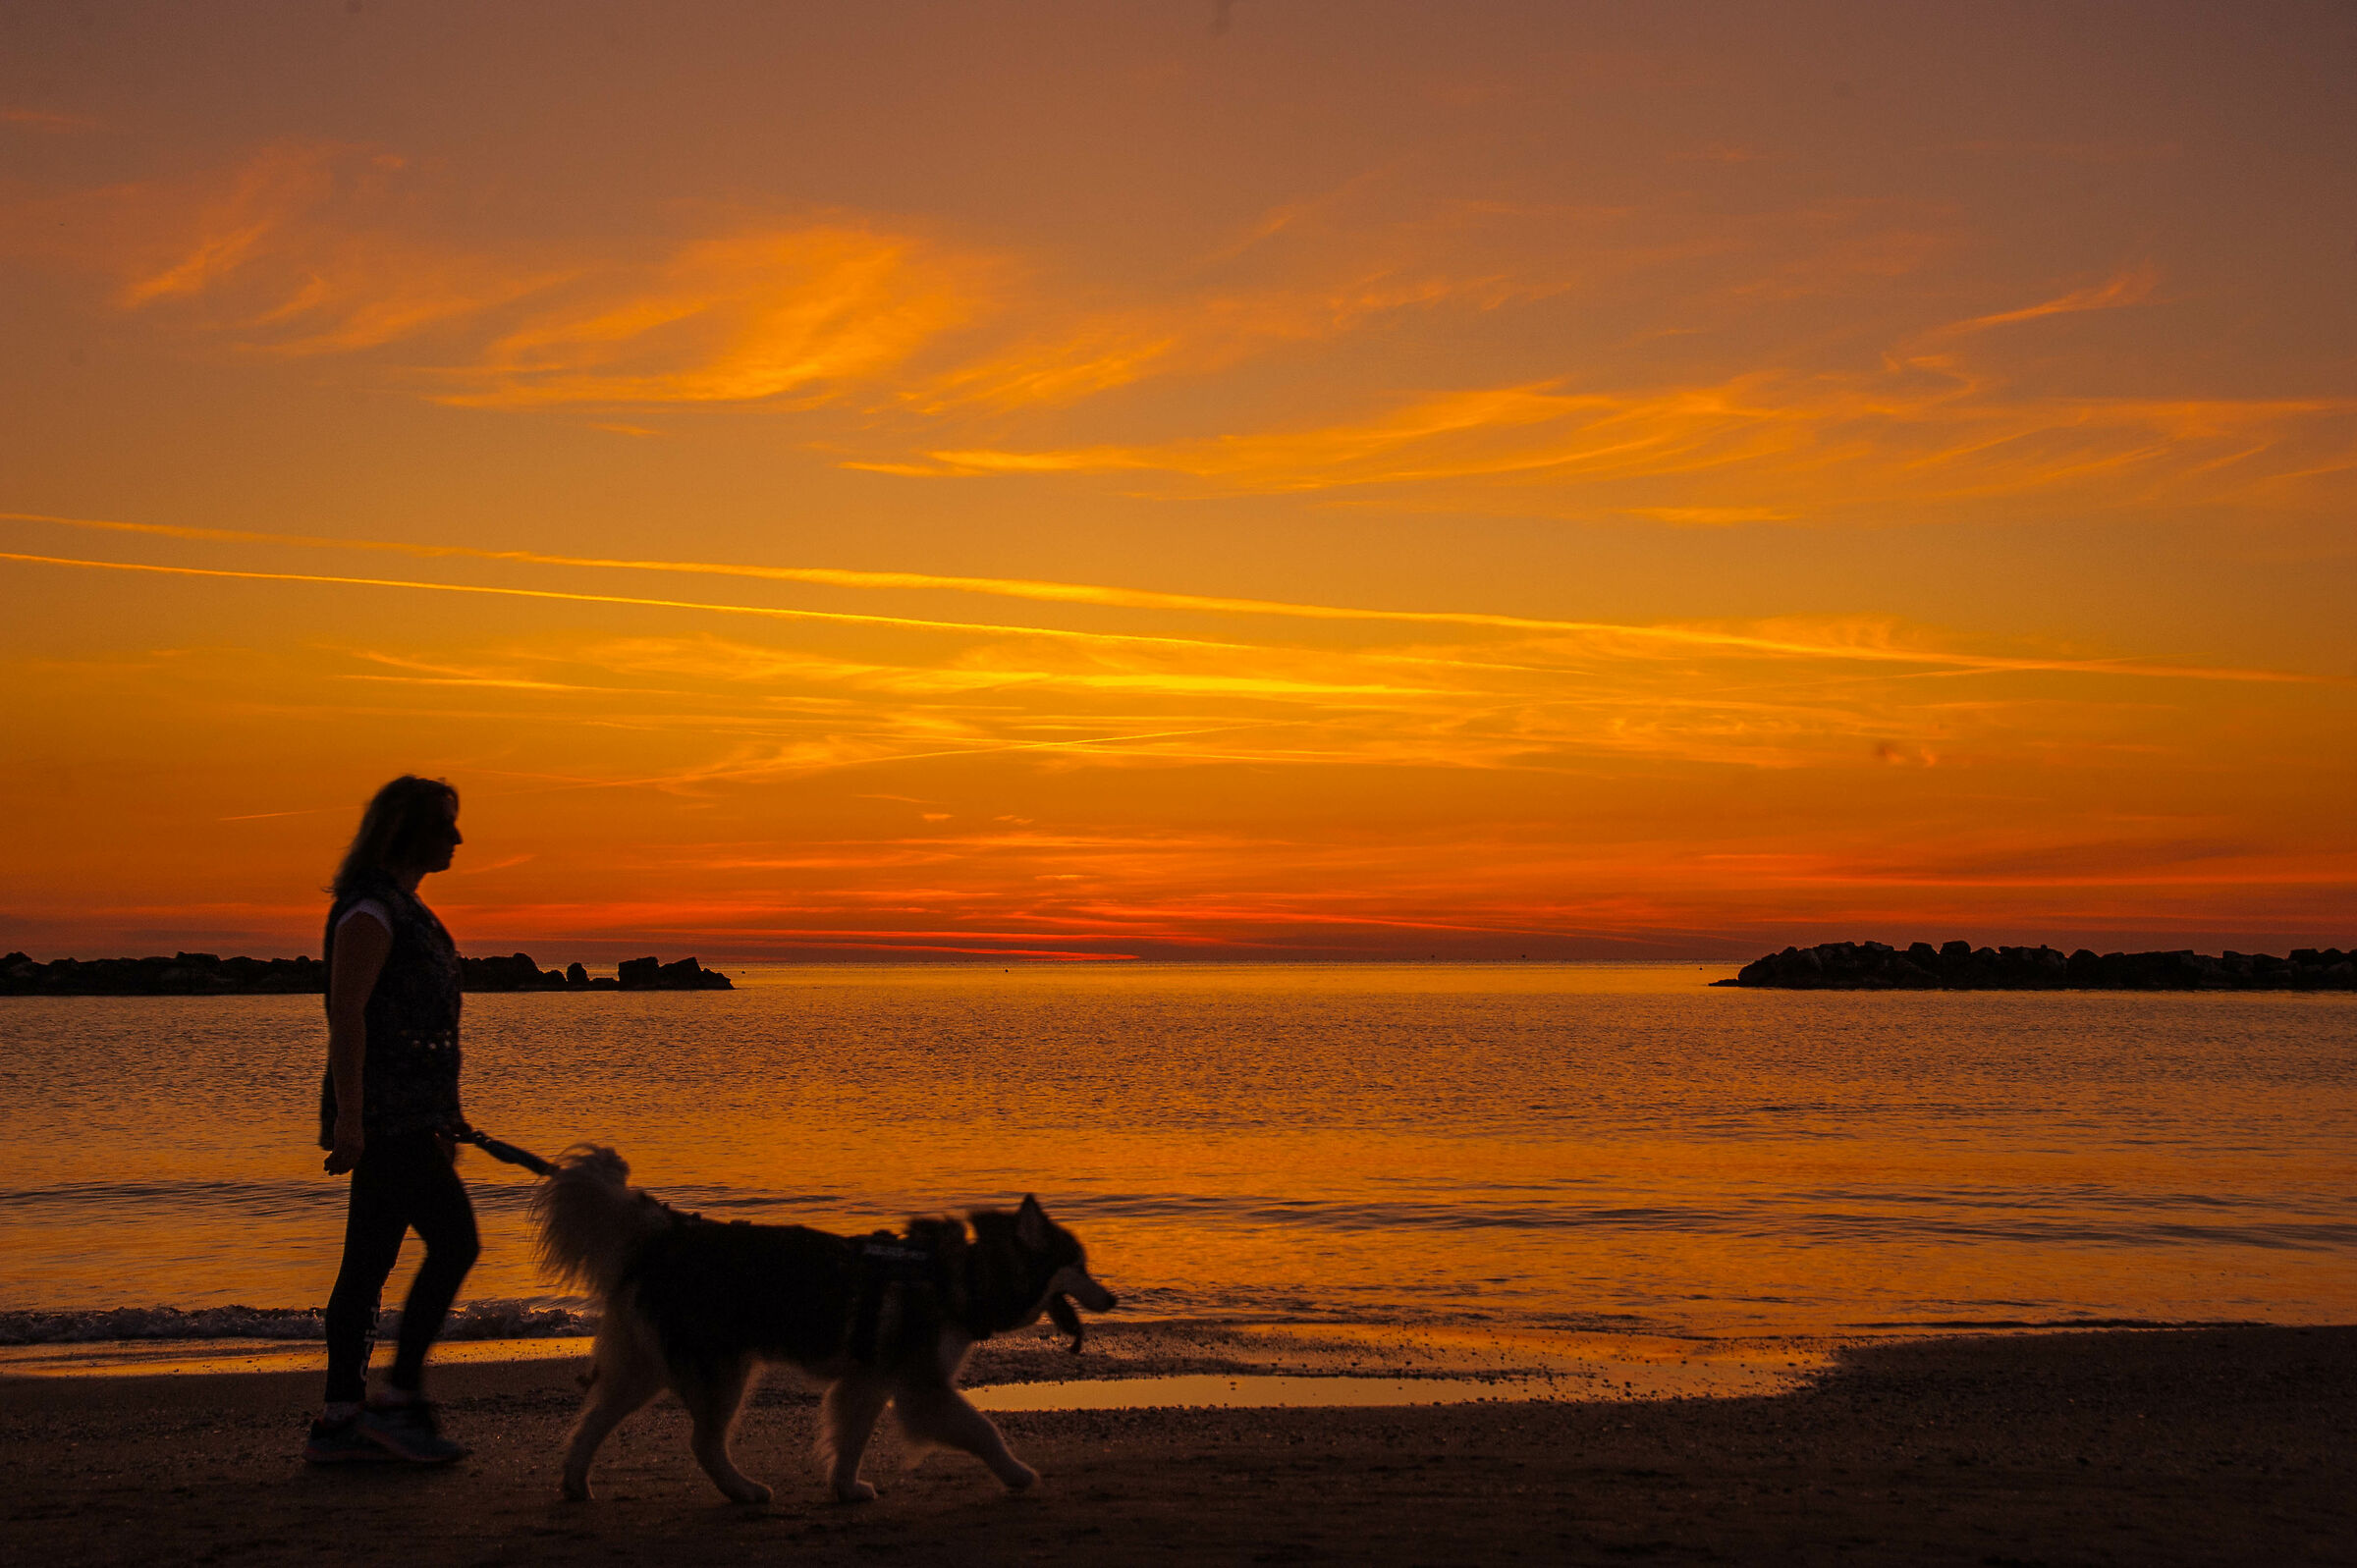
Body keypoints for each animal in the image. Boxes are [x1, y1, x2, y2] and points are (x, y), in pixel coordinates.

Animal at [530, 1146, 1116, 1504]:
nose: (1113, 1298)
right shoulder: (921, 1388)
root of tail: (669, 1231)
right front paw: (1018, 1474)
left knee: (590, 1421)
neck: (966, 1278)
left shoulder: (869, 1381)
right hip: (724, 1371)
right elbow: (983, 1430)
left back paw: (575, 1483)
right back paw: (743, 1490)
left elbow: (851, 1438)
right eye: (1081, 1265)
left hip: (646, 1368)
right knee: (702, 1442)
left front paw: (845, 1487)